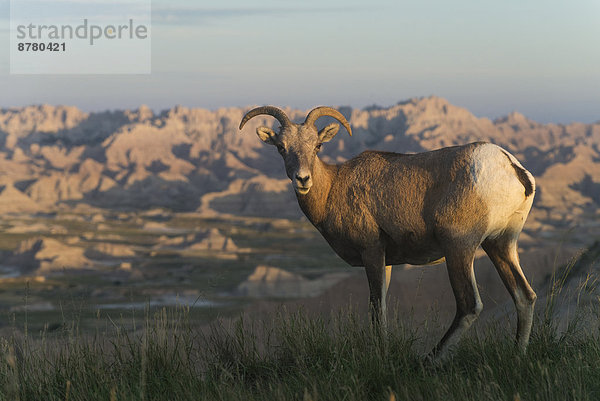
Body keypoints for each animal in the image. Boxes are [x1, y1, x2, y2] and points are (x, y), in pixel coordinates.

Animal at [239, 105, 540, 356]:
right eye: (281, 147)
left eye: (318, 145)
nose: (302, 179)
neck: (334, 187)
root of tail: (511, 168)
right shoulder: (387, 262)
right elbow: (382, 304)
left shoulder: (372, 252)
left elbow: (376, 307)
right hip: (501, 244)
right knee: (524, 296)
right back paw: (517, 355)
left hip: (460, 247)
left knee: (469, 305)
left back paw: (430, 360)